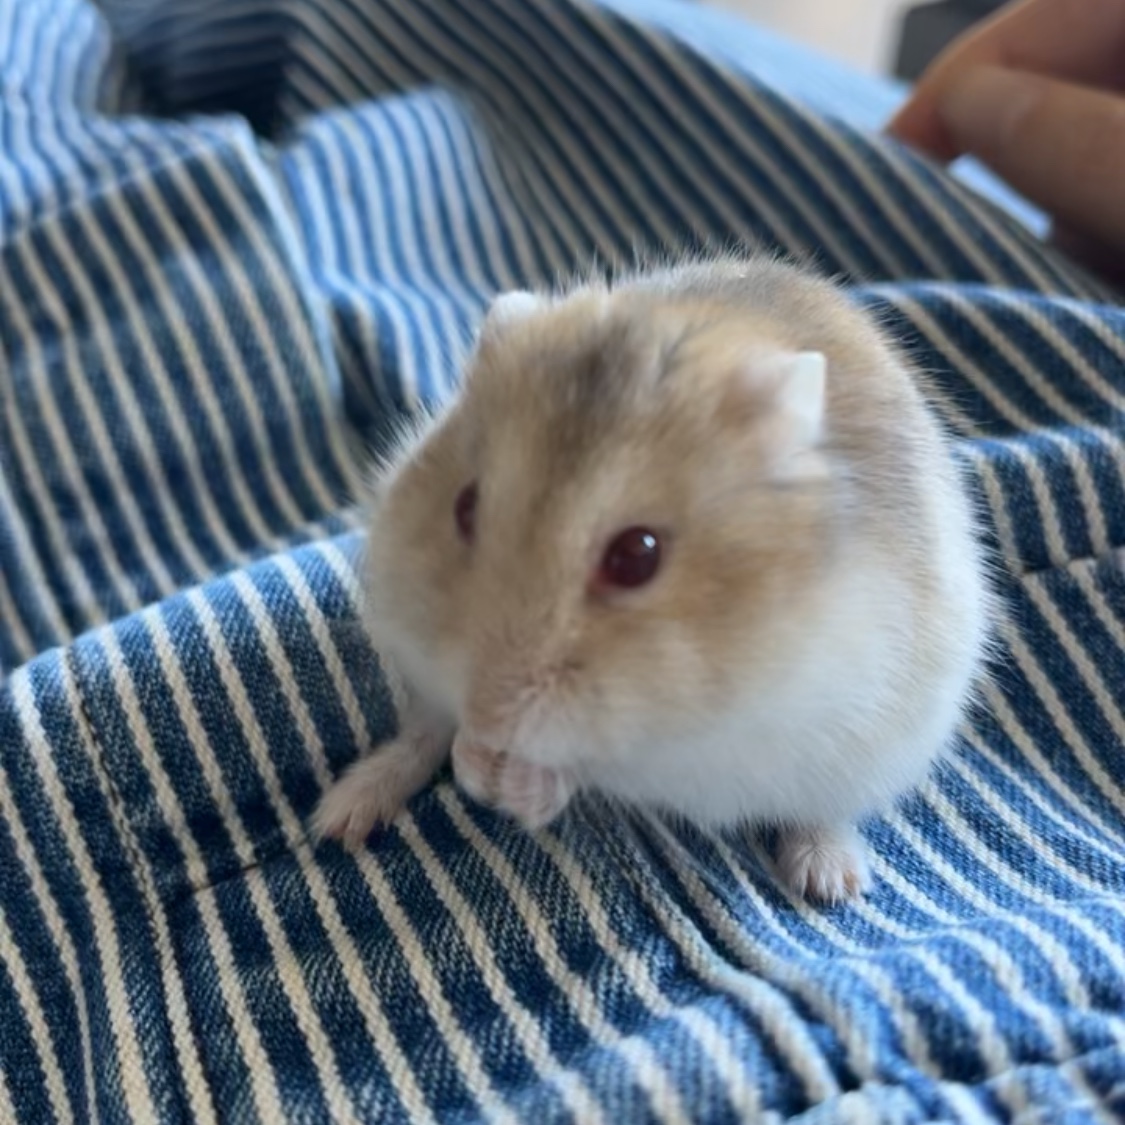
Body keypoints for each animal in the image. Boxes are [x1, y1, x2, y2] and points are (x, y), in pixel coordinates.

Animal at [312, 255, 992, 905]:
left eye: (638, 555)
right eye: (465, 507)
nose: (489, 718)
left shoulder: (718, 741)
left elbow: (597, 763)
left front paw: (511, 782)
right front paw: (479, 762)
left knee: (826, 812)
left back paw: (828, 881)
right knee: (420, 734)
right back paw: (340, 817)